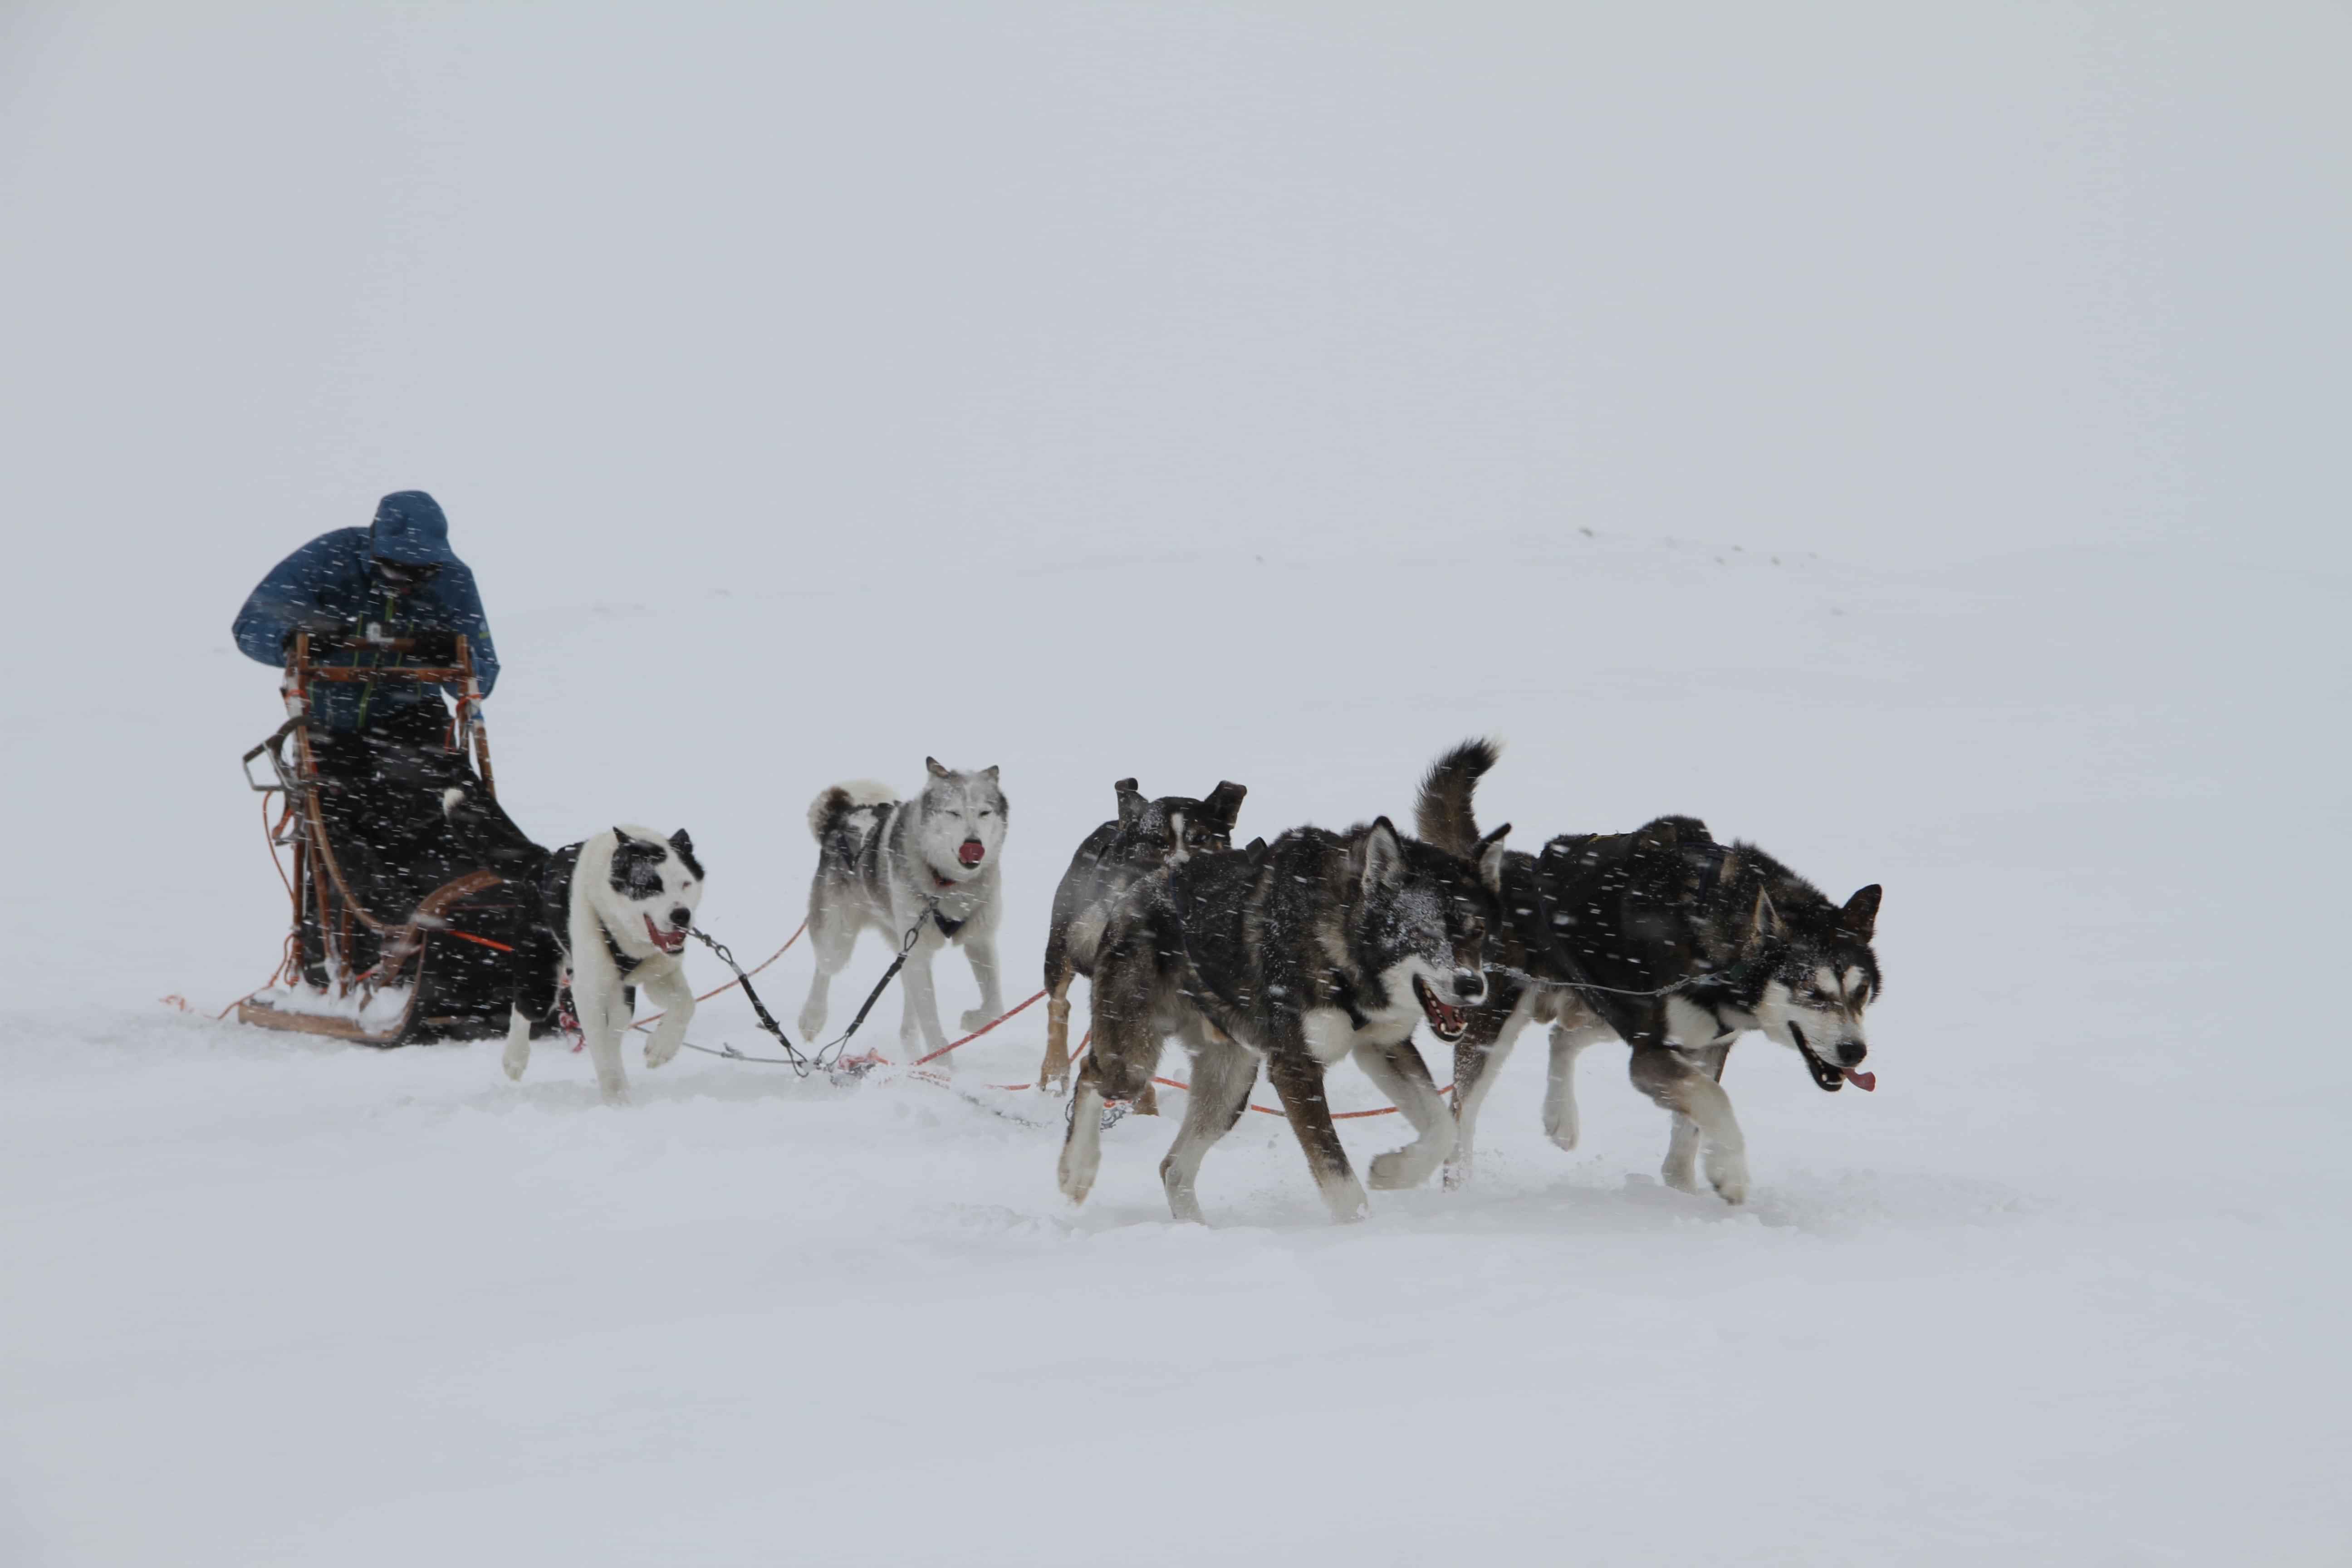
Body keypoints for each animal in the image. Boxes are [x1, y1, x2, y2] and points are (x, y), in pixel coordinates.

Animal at [501, 823, 701, 1105]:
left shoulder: (660, 973)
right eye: (650, 885)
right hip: (539, 976)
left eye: (686, 883)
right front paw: (615, 1100)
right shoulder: (588, 992)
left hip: (622, 998)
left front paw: (662, 1046)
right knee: (525, 1008)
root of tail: (541, 864)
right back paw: (515, 1058)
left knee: (614, 1034)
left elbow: (686, 1004)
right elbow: (601, 1048)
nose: (682, 915)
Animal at [799, 761, 1002, 1067]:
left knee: (908, 1003)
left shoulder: (980, 940)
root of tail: (842, 817)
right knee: (824, 968)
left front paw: (973, 1021)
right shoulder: (919, 951)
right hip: (839, 939)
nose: (973, 843)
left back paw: (911, 1047)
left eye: (985, 813)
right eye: (953, 812)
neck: (947, 883)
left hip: (902, 945)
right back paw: (812, 1018)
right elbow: (930, 1018)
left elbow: (996, 1008)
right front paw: (944, 1066)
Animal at [1034, 780, 1251, 1100]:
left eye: (1202, 838)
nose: (1182, 870)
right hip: (1060, 944)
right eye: (1157, 841)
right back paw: (1055, 1070)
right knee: (1059, 1004)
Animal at [1063, 818, 1505, 1232]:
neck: (1343, 948)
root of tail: (1135, 891)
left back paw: (1196, 1231)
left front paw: (1394, 1171)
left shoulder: (1383, 1047)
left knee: (1173, 1167)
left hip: (1231, 1086)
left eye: (1479, 930)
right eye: (1422, 932)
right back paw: (1076, 1171)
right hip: (1134, 1062)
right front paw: (1358, 1231)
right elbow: (1338, 1176)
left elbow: (1443, 1126)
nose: (1472, 985)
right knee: (1088, 1074)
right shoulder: (1297, 1068)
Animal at [1401, 743, 1882, 1213]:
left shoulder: (1706, 1046)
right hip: (1499, 1024)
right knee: (1463, 1112)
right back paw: (1461, 1187)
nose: (1854, 1051)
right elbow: (1714, 1099)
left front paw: (1684, 1188)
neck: (1718, 952)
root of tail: (1511, 872)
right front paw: (1731, 1174)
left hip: (1607, 1008)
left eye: (1862, 993)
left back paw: (1561, 1119)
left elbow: (1691, 1125)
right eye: (1811, 991)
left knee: (1563, 1035)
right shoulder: (1652, 1053)